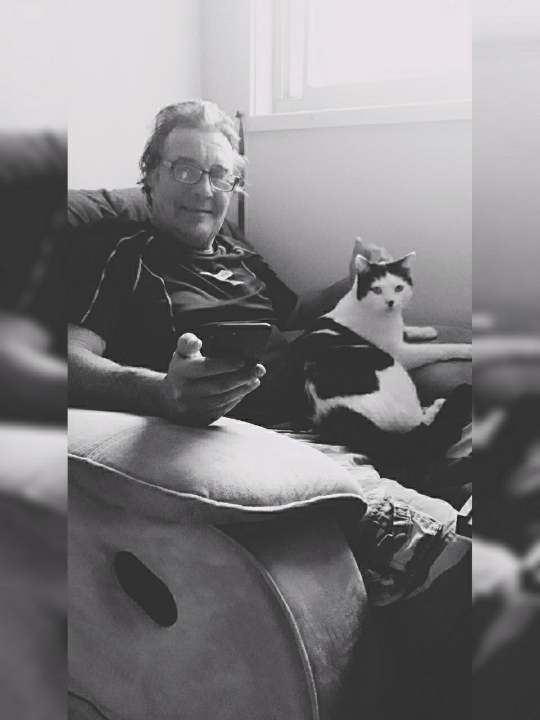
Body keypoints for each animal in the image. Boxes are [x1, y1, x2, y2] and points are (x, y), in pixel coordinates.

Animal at [292, 252, 472, 482]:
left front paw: (425, 330)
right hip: (393, 370)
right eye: (377, 289)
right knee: (418, 423)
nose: (391, 302)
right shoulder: (400, 353)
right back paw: (436, 406)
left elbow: (405, 329)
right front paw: (467, 349)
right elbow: (440, 349)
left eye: (399, 287)